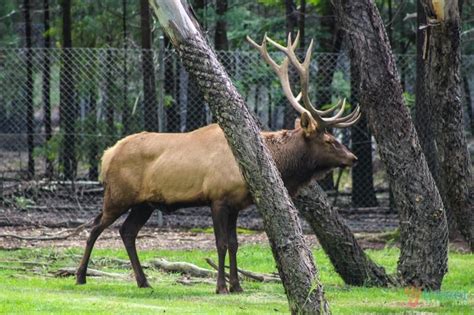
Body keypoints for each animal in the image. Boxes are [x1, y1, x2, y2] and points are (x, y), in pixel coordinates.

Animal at [77, 32, 360, 294]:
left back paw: (143, 280)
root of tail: (107, 155)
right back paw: (81, 276)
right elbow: (221, 243)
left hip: (144, 203)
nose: (353, 158)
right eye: (329, 141)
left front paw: (237, 285)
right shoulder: (218, 198)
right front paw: (221, 286)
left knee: (127, 231)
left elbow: (234, 243)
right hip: (118, 195)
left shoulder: (235, 204)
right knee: (95, 227)